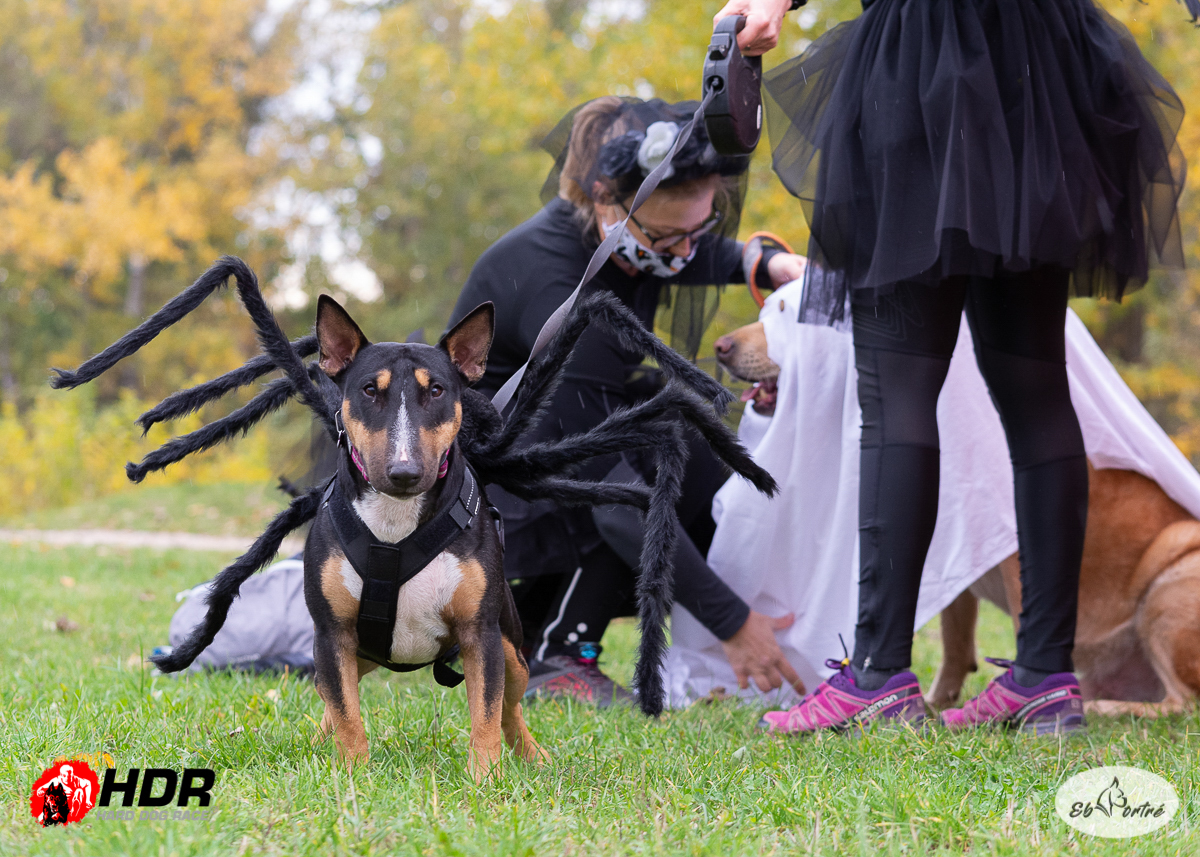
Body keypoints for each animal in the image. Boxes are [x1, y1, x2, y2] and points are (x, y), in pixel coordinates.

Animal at [307, 295, 547, 782]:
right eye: (369, 390)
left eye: (436, 390)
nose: (404, 472)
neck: (395, 525)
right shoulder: (332, 633)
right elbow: (346, 711)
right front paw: (353, 772)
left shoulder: (480, 633)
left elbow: (487, 711)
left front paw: (485, 779)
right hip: (350, 653)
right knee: (331, 693)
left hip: (511, 648)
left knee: (511, 707)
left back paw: (533, 757)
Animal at [710, 316, 1200, 710]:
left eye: (786, 312)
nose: (720, 346)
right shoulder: (952, 541)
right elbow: (954, 638)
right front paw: (932, 703)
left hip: (1171, 574)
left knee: (1182, 704)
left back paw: (1105, 709)